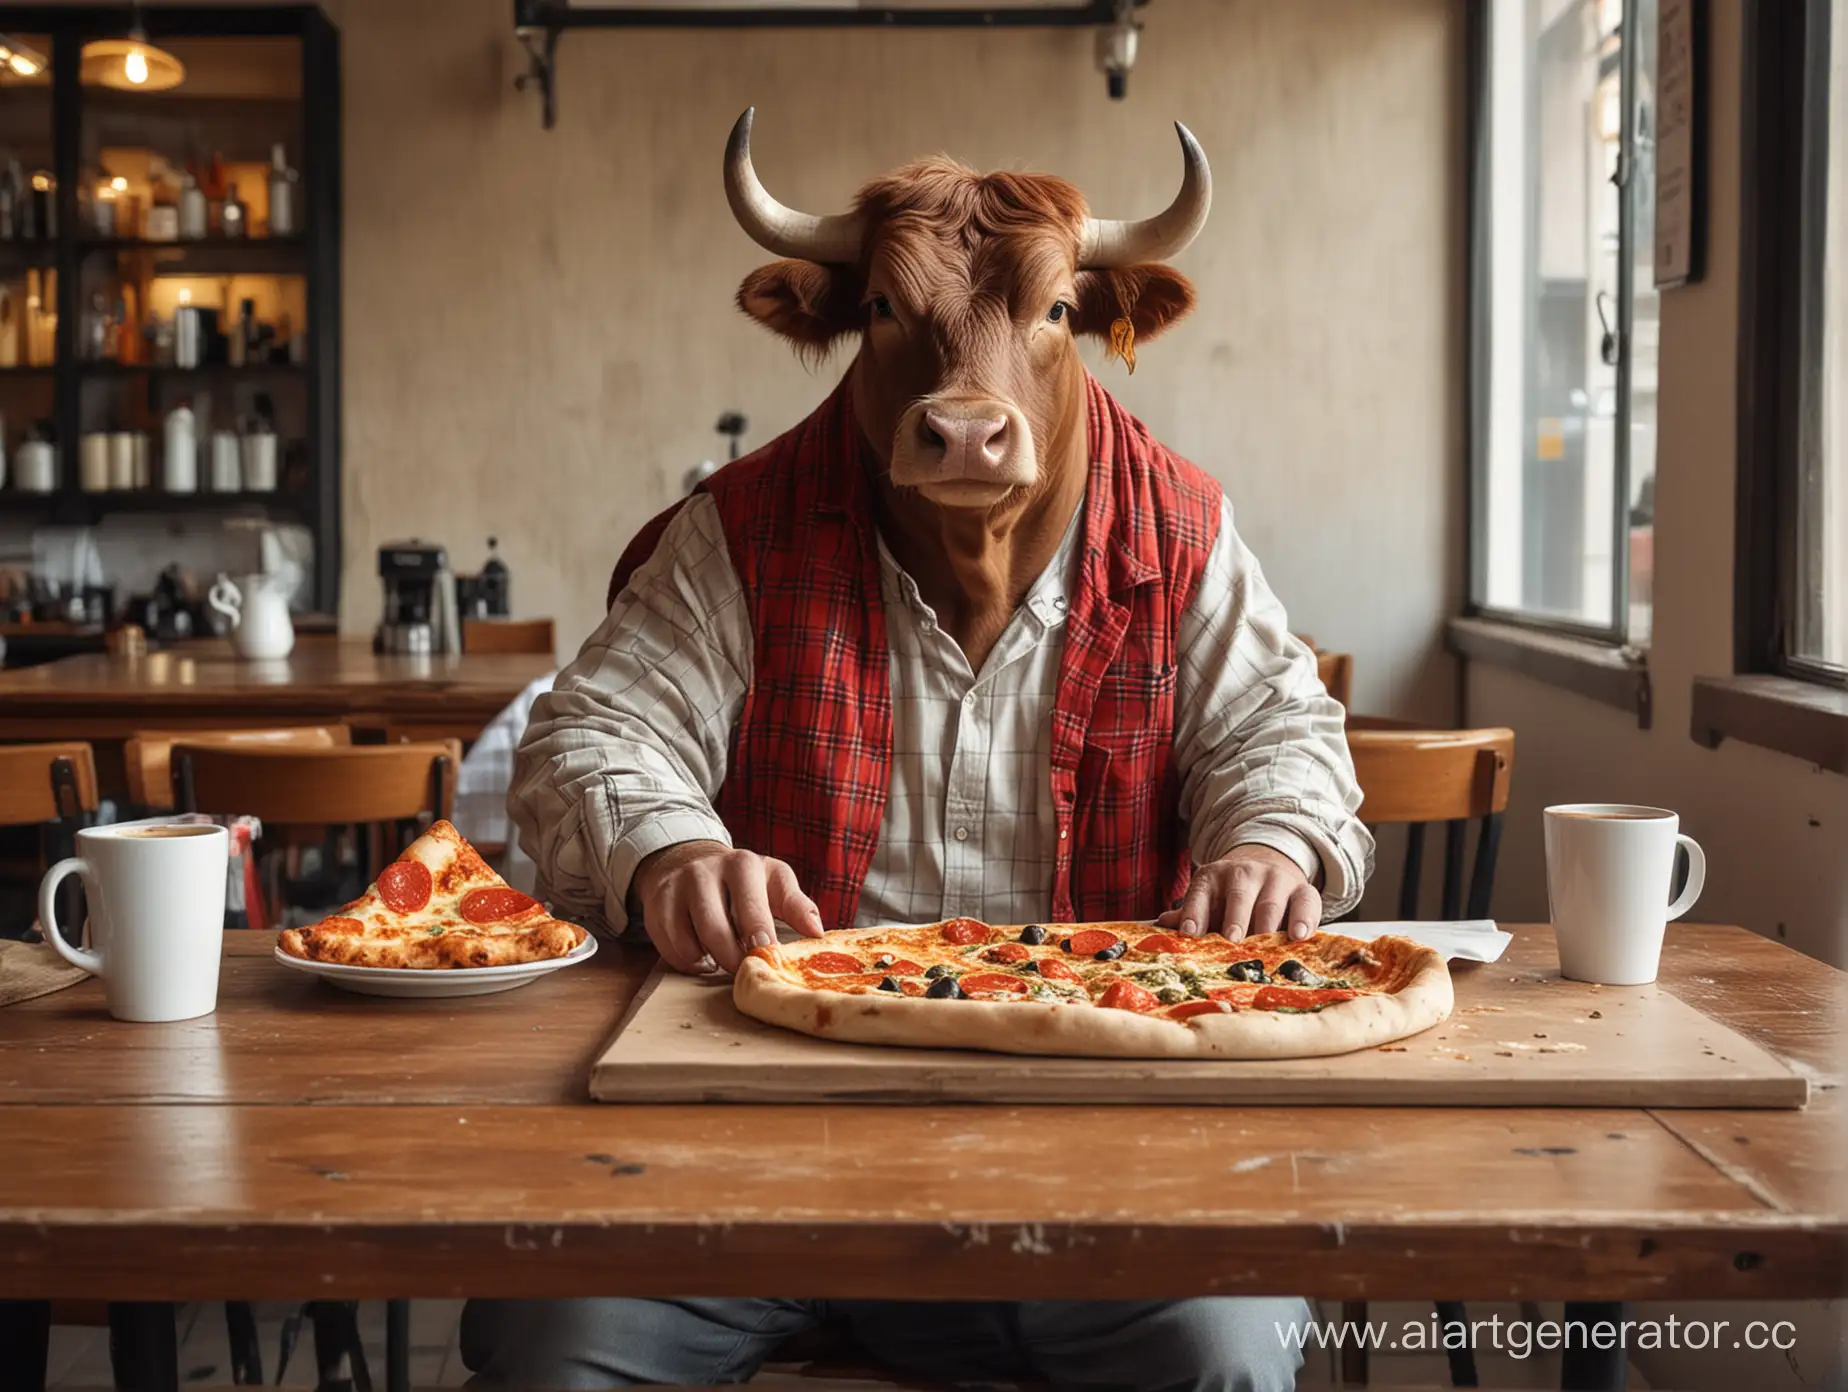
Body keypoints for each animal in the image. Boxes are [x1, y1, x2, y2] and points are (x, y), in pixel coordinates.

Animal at [469, 111, 1382, 1390]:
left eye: (1058, 308)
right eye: (884, 306)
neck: (976, 568)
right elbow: (604, 721)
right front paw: (711, 884)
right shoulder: (697, 558)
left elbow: (1279, 721)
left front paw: (1255, 885)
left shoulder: (1219, 566)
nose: (964, 433)